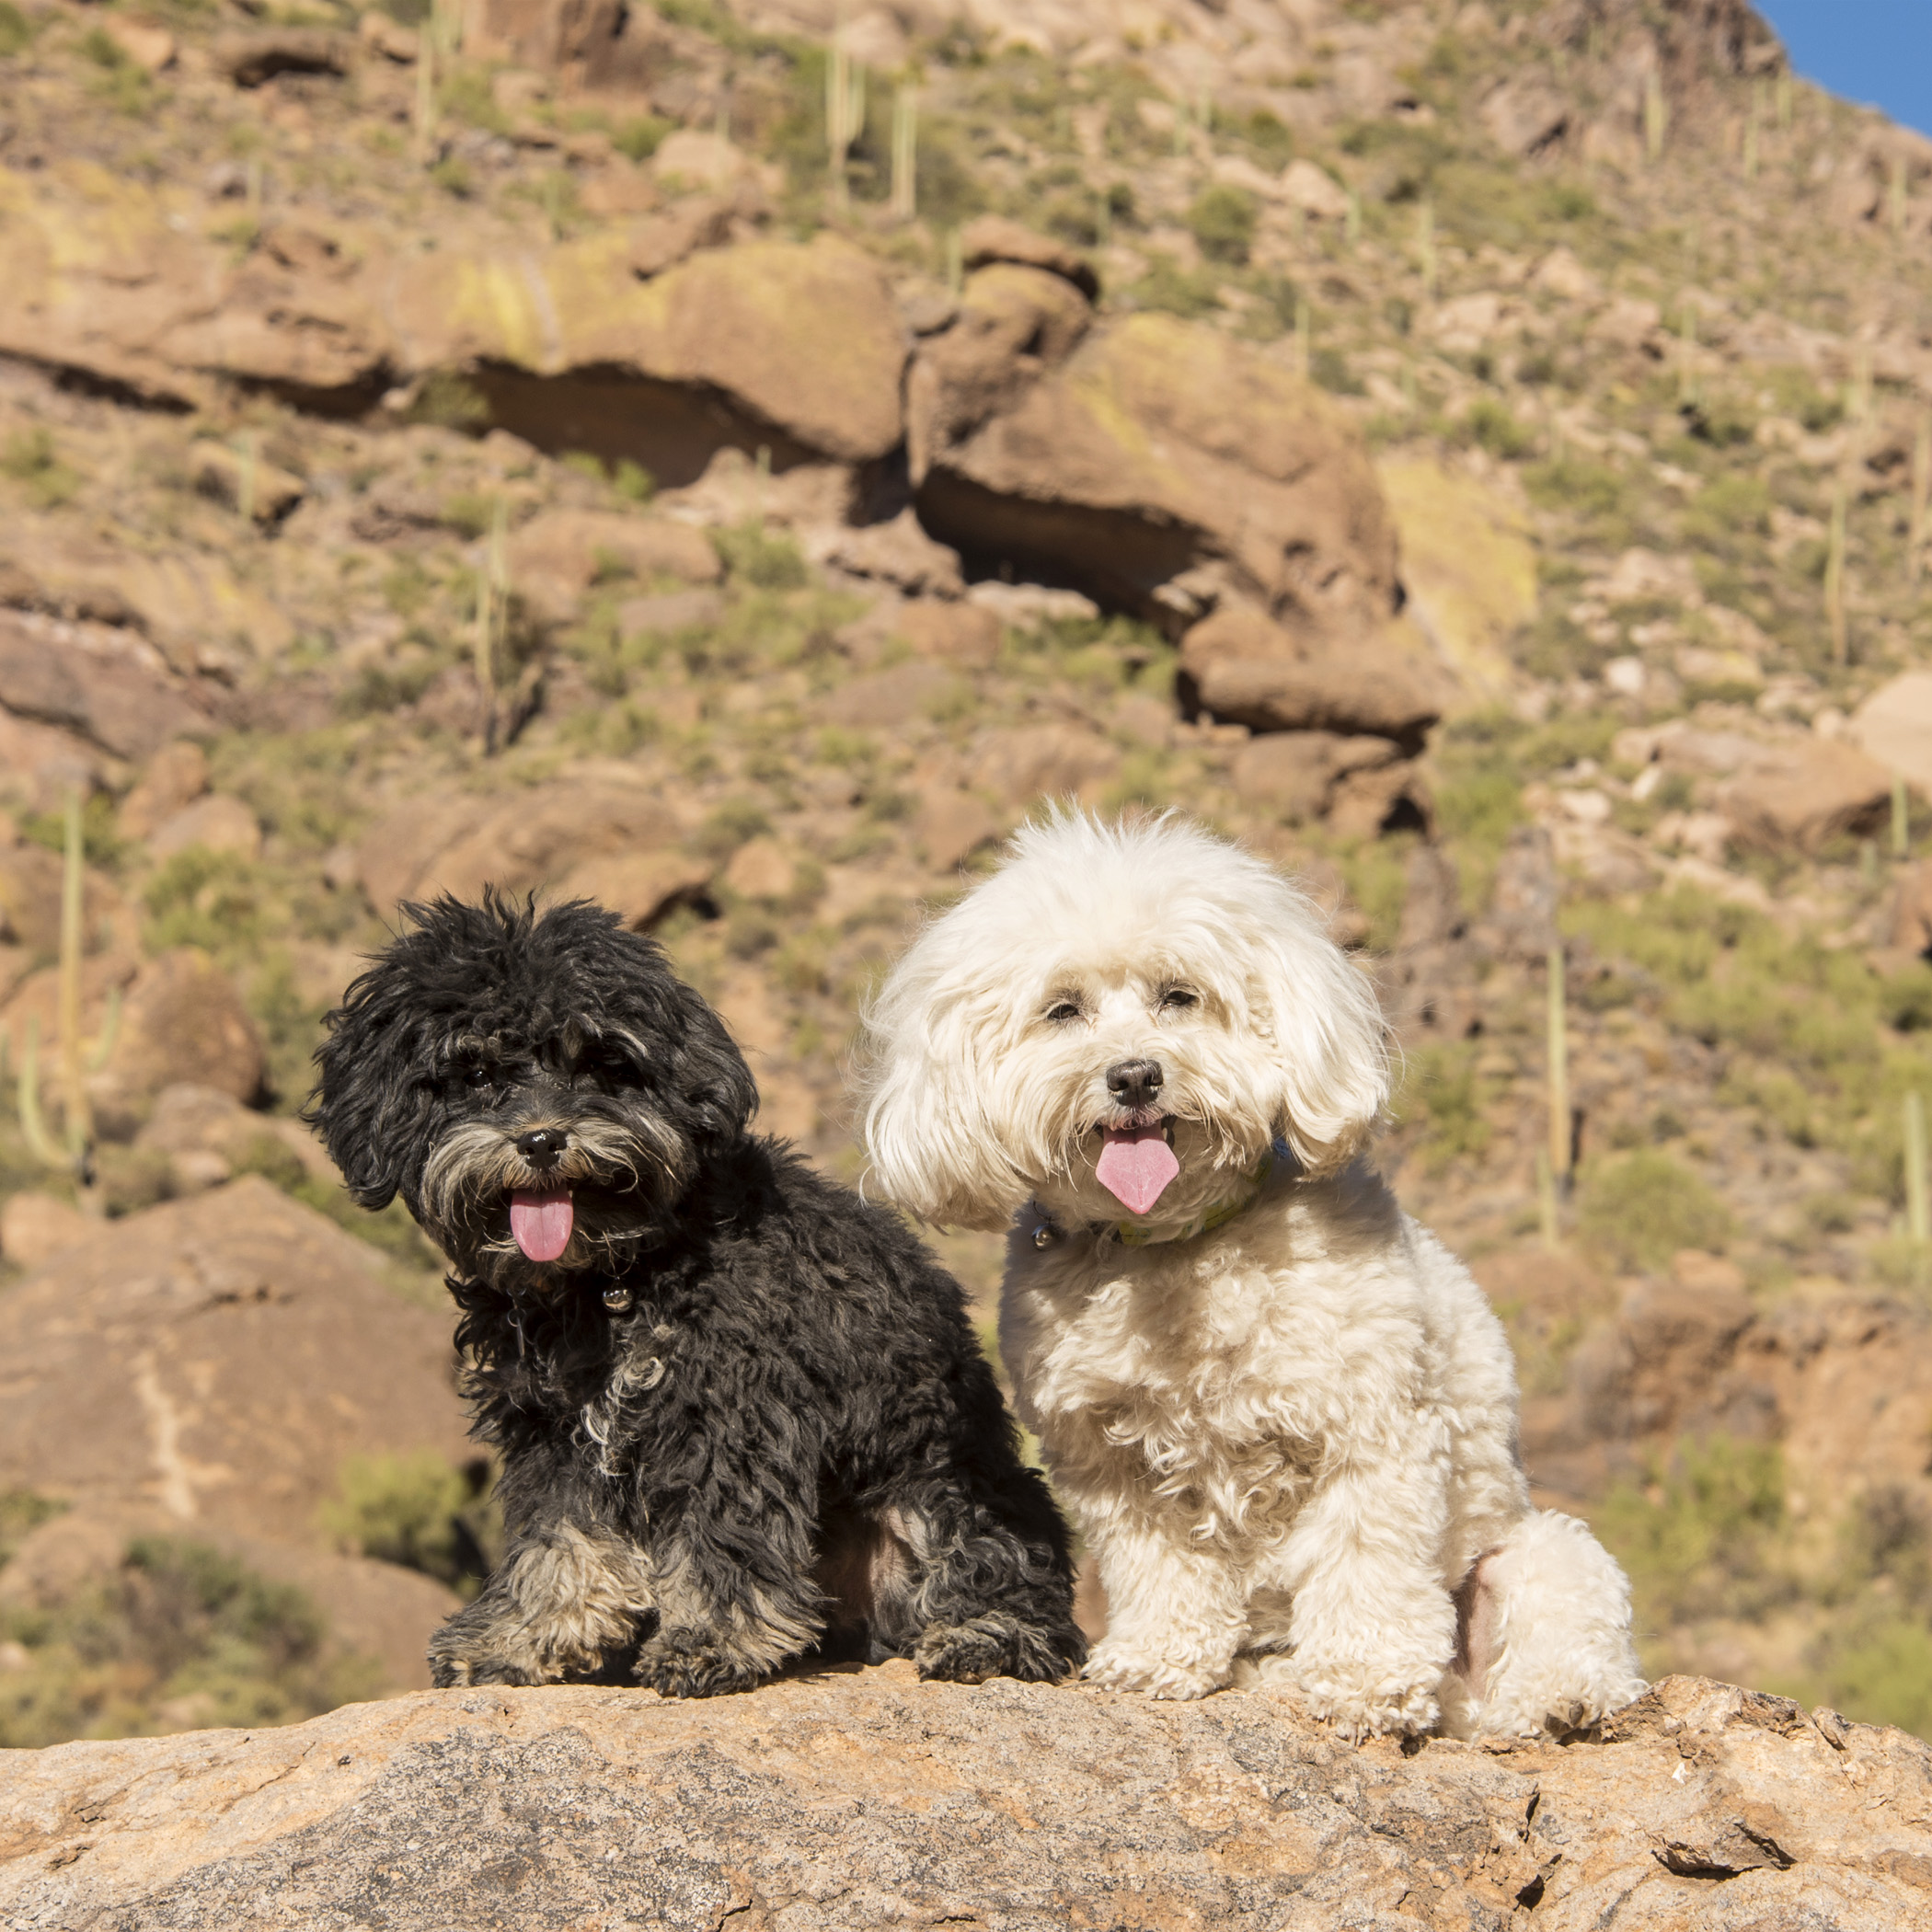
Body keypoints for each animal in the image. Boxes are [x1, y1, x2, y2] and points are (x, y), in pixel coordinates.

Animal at [306, 888, 1082, 1692]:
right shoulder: (554, 1426)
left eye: (603, 1064)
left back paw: (987, 1635)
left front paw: (708, 1640)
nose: (542, 1140)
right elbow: (558, 1538)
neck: (613, 1278)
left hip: (945, 1484)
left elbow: (722, 1537)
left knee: (1003, 1572)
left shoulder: (734, 1411)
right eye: (478, 1073)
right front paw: (522, 1636)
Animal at [861, 807, 1646, 1746]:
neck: (1173, 1249)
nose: (1135, 1075)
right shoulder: (1110, 1460)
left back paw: (1547, 1702)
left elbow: (1365, 1563)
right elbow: (1159, 1564)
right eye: (1063, 1010)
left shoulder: (1372, 1434)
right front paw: (1159, 1658)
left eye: (1179, 995)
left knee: (1560, 1650)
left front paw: (1366, 1683)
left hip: (1541, 1556)